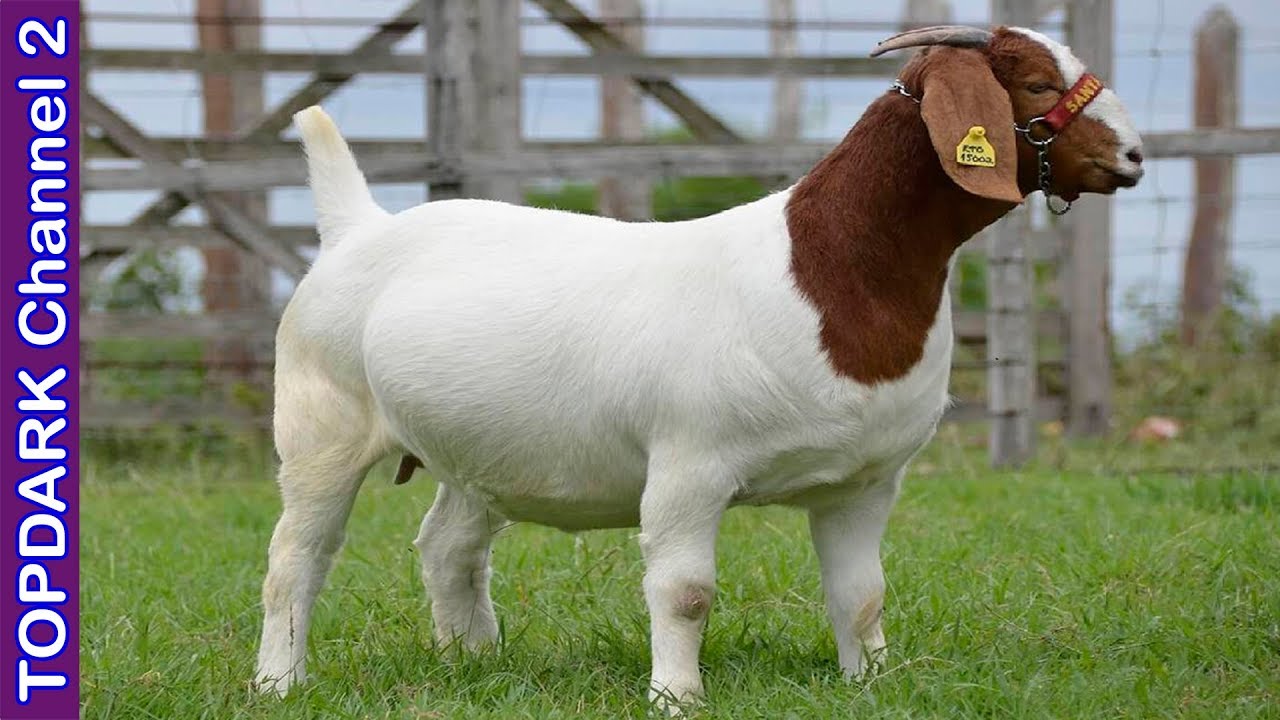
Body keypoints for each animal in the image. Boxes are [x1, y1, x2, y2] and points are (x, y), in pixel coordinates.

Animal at [253, 25, 1143, 709]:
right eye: (1034, 81)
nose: (1133, 156)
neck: (823, 272)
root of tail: (359, 227)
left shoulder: (864, 482)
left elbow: (861, 595)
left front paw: (872, 684)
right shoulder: (688, 467)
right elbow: (684, 594)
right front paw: (676, 697)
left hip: (484, 453)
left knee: (448, 547)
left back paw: (474, 662)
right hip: (322, 426)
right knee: (297, 557)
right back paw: (278, 682)